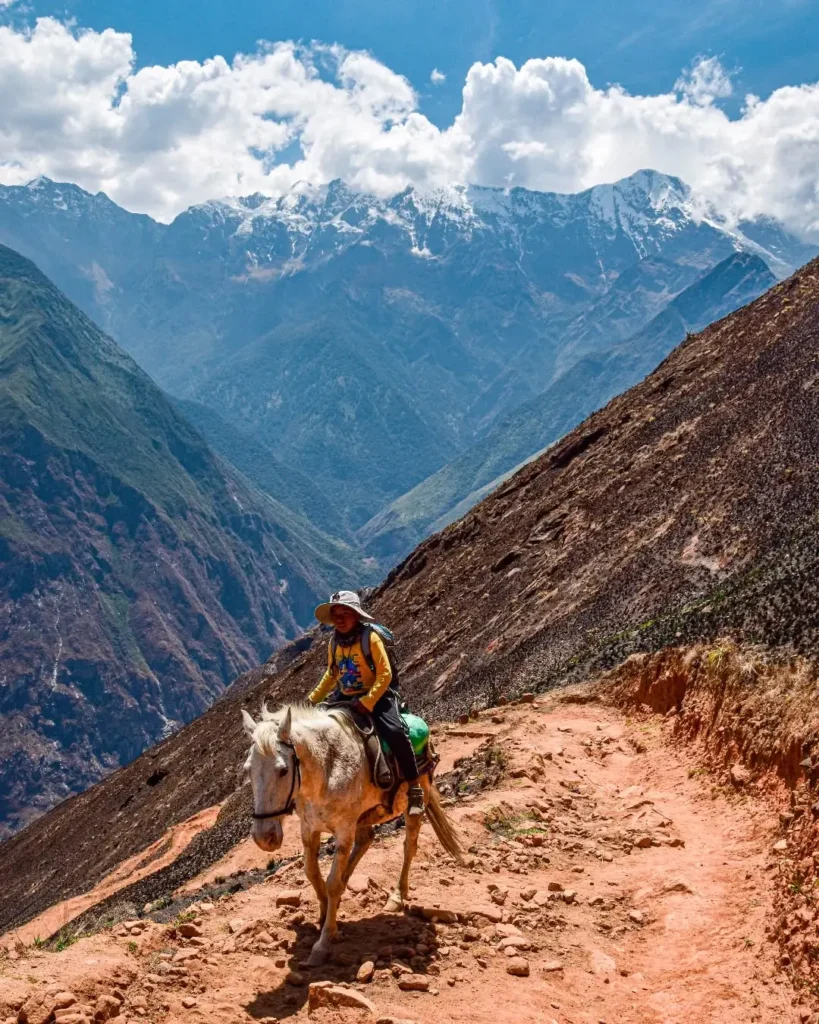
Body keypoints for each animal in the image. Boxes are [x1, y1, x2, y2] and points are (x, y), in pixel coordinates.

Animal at [239, 704, 464, 966]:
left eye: (283, 770)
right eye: (247, 771)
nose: (264, 838)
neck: (327, 769)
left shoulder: (344, 830)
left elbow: (332, 883)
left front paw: (324, 942)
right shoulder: (309, 828)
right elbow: (312, 873)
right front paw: (325, 912)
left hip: (415, 803)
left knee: (409, 846)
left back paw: (397, 896)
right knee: (366, 840)